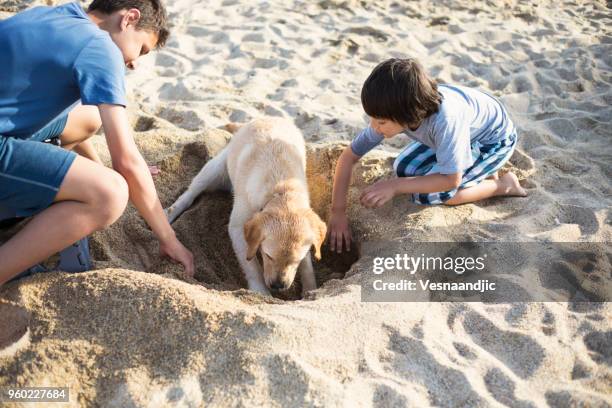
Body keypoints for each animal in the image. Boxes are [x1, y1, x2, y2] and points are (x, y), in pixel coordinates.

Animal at [163, 116, 326, 294]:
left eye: (297, 260)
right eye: (268, 255)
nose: (278, 286)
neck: (281, 191)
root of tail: (263, 118)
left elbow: (307, 266)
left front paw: (311, 290)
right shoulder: (237, 227)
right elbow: (251, 264)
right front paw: (260, 291)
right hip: (213, 170)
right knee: (187, 196)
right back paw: (168, 214)